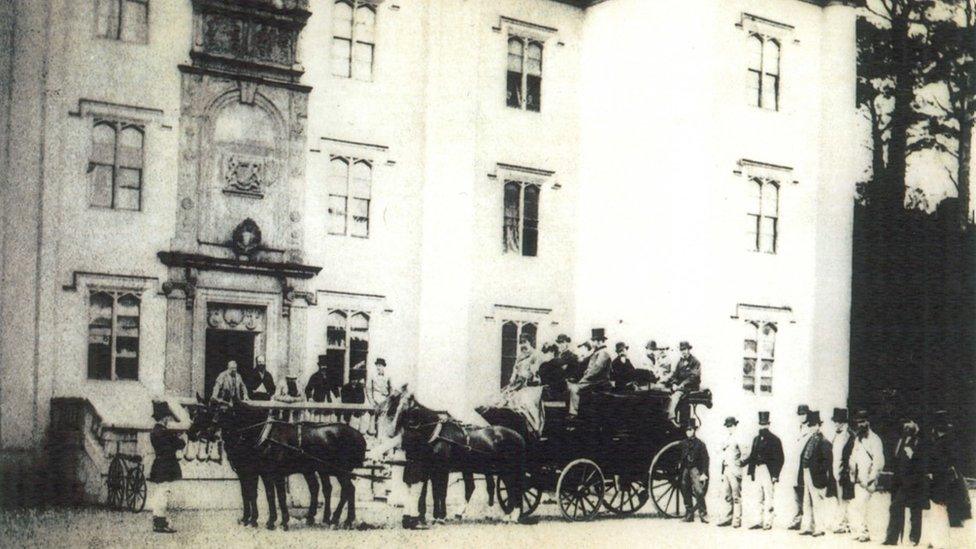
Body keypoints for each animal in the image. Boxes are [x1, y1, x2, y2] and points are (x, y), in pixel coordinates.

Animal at [187, 400, 366, 528]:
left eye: (222, 412)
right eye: (198, 413)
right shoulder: (255, 473)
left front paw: (276, 520)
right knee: (326, 489)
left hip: (339, 471)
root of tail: (358, 435)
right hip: (320, 470)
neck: (262, 435)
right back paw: (329, 519)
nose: (192, 433)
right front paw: (253, 519)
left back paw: (339, 520)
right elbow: (255, 494)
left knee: (347, 490)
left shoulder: (270, 473)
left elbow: (275, 495)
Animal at [378, 388, 528, 520]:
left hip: (509, 470)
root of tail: (519, 436)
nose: (391, 433)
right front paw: (434, 515)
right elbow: (434, 492)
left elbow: (441, 492)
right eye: (394, 408)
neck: (437, 433)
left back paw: (513, 515)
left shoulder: (443, 469)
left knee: (515, 488)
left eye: (406, 410)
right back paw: (509, 514)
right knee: (508, 488)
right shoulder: (433, 469)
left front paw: (441, 516)